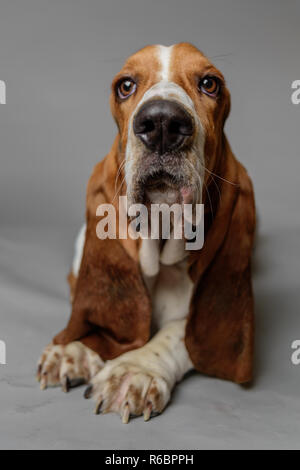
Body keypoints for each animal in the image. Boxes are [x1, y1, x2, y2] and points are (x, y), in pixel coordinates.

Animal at [35, 43, 255, 422]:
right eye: (125, 85)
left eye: (210, 83)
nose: (163, 123)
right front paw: (76, 348)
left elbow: (180, 332)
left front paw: (135, 370)